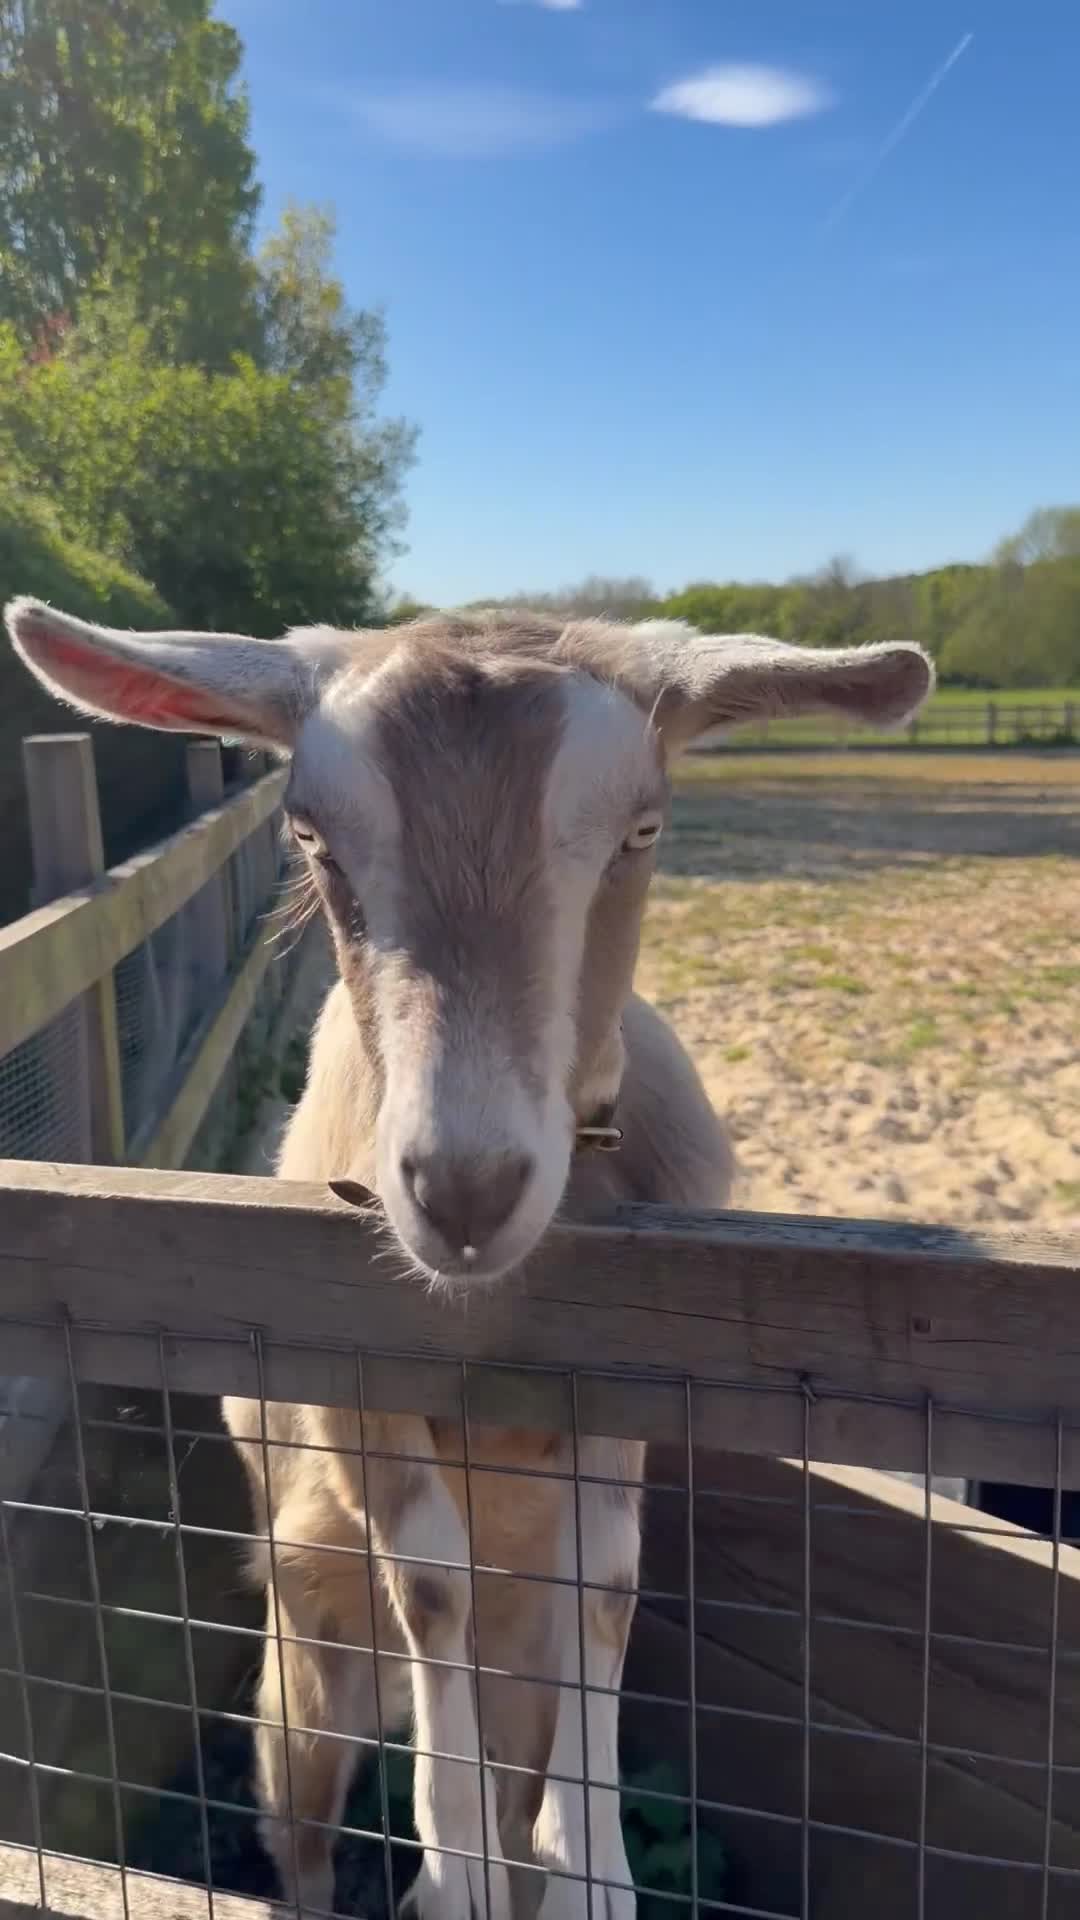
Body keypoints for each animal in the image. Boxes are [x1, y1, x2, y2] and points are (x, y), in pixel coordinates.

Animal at [6, 598, 933, 1920]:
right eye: (311, 839)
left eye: (643, 829)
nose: (466, 1189)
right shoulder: (354, 1388)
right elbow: (432, 1581)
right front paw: (454, 1878)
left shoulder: (625, 1391)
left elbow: (610, 1582)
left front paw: (587, 1872)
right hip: (306, 1650)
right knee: (300, 1823)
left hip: (509, 1669)